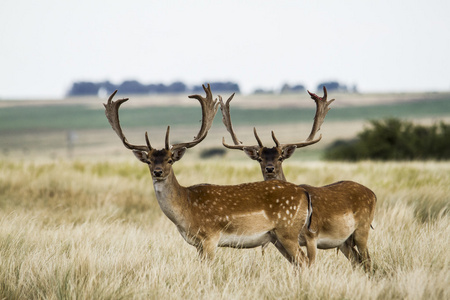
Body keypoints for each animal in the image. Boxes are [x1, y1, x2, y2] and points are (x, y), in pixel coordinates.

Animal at [105, 84, 316, 268]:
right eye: (148, 161)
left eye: (170, 159)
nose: (158, 172)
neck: (186, 208)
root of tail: (304, 193)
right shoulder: (198, 244)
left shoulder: (210, 237)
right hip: (277, 237)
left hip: (287, 230)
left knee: (304, 261)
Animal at [220, 87, 374, 272]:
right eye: (260, 158)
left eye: (280, 157)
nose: (269, 168)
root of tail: (373, 194)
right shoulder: (279, 240)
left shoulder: (312, 235)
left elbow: (310, 264)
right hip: (344, 242)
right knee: (358, 262)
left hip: (362, 229)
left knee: (368, 261)